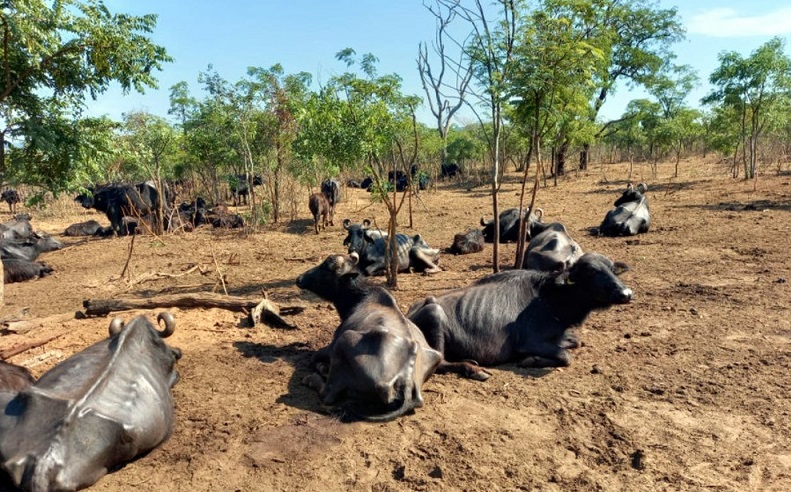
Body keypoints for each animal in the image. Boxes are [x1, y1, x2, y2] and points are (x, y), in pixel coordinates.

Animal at [296, 252, 442, 420]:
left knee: (328, 394)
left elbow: (313, 357)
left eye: (326, 267)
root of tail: (406, 379)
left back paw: (314, 376)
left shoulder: (332, 345)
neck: (359, 297)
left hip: (345, 339)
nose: (299, 278)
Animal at [406, 252, 636, 382]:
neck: (550, 298)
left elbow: (575, 342)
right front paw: (530, 360)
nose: (626, 294)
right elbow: (565, 356)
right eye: (590, 272)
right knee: (440, 361)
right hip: (434, 312)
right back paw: (474, 370)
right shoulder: (528, 343)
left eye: (612, 269)